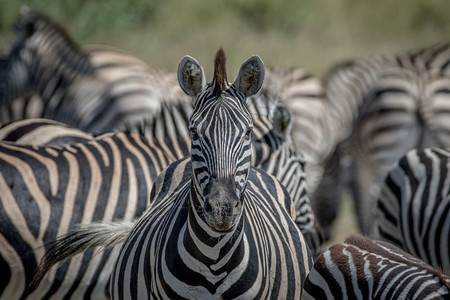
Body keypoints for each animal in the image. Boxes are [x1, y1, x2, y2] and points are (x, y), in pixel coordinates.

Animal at [324, 43, 450, 236]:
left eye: (330, 173)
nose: (325, 228)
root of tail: (421, 86)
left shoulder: (362, 161)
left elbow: (367, 197)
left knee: (378, 192)